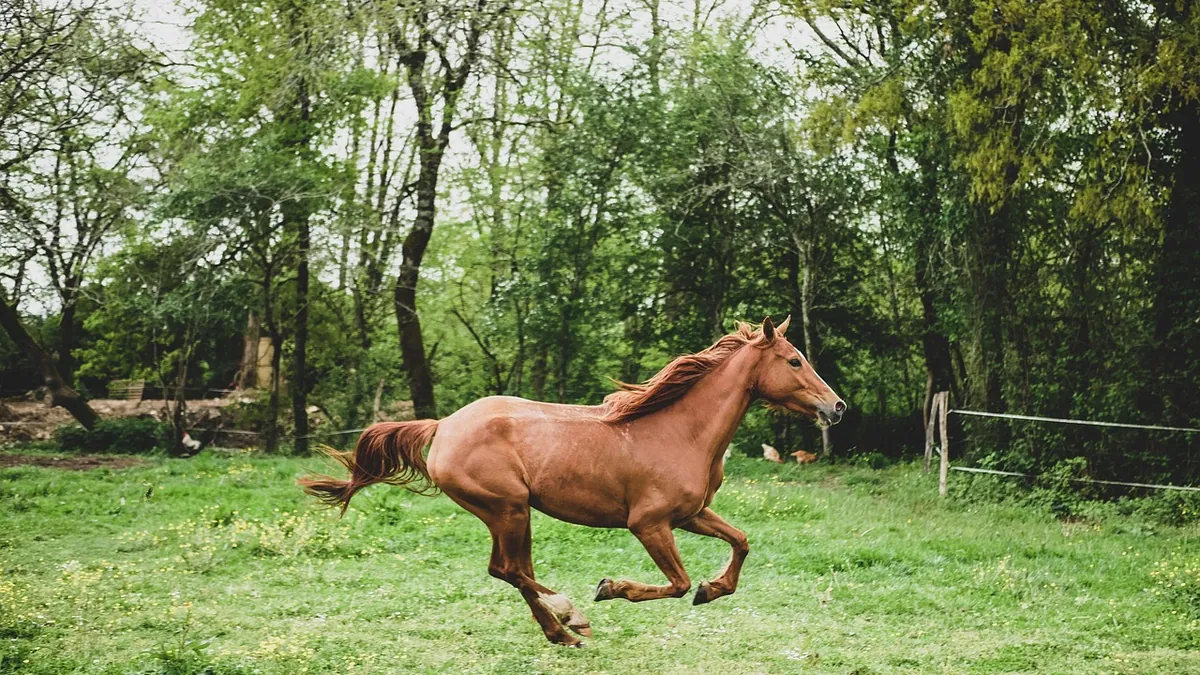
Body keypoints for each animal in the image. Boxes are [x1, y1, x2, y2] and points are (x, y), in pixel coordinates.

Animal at [300, 316, 845, 646]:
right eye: (794, 360)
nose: (836, 406)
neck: (680, 431)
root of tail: (444, 425)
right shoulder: (649, 524)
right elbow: (676, 583)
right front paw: (612, 588)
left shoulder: (690, 514)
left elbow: (741, 541)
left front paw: (714, 589)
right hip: (508, 509)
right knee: (509, 570)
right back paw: (570, 616)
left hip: (513, 515)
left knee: (512, 570)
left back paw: (560, 631)